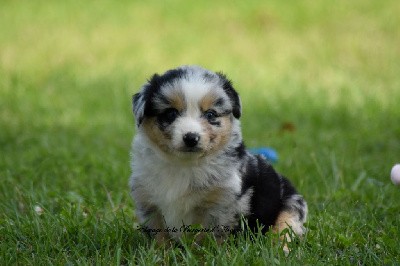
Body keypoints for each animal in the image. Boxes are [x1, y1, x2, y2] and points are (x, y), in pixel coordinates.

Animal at [130, 65, 308, 250]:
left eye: (210, 115)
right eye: (171, 113)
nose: (191, 138)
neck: (184, 164)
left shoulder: (222, 204)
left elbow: (208, 237)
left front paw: (203, 253)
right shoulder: (147, 200)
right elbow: (159, 235)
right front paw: (161, 252)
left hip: (291, 207)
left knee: (283, 230)